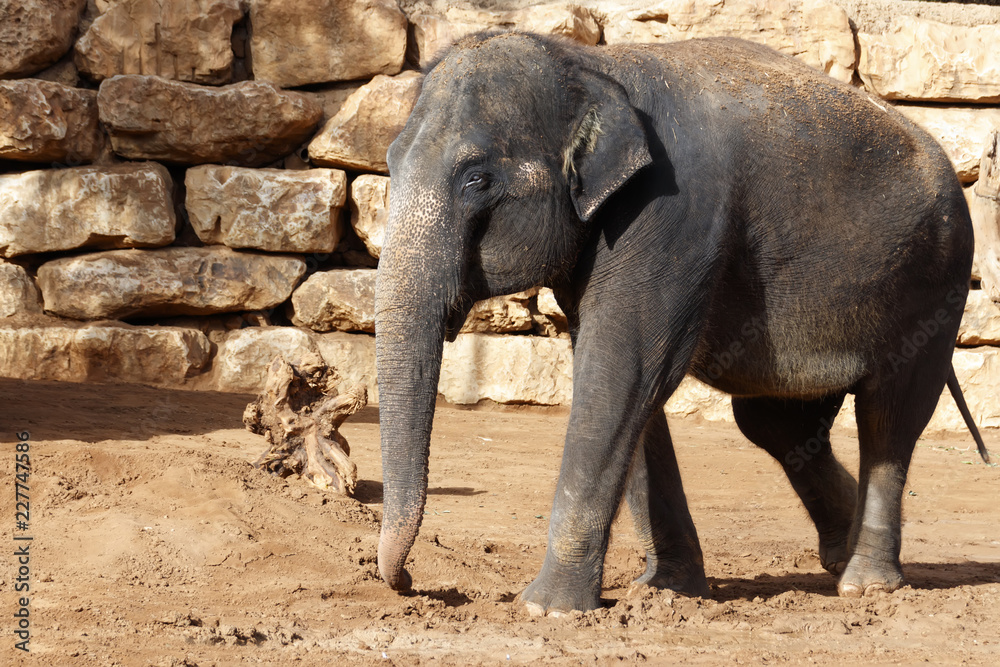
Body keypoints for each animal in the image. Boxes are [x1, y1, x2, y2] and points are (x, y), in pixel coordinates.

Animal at [373, 31, 990, 616]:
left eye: (477, 179)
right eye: (391, 161)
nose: (406, 583)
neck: (594, 66)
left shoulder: (671, 214)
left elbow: (623, 370)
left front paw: (544, 609)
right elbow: (632, 386)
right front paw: (666, 590)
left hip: (936, 278)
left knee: (889, 415)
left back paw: (866, 585)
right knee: (777, 423)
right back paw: (839, 557)